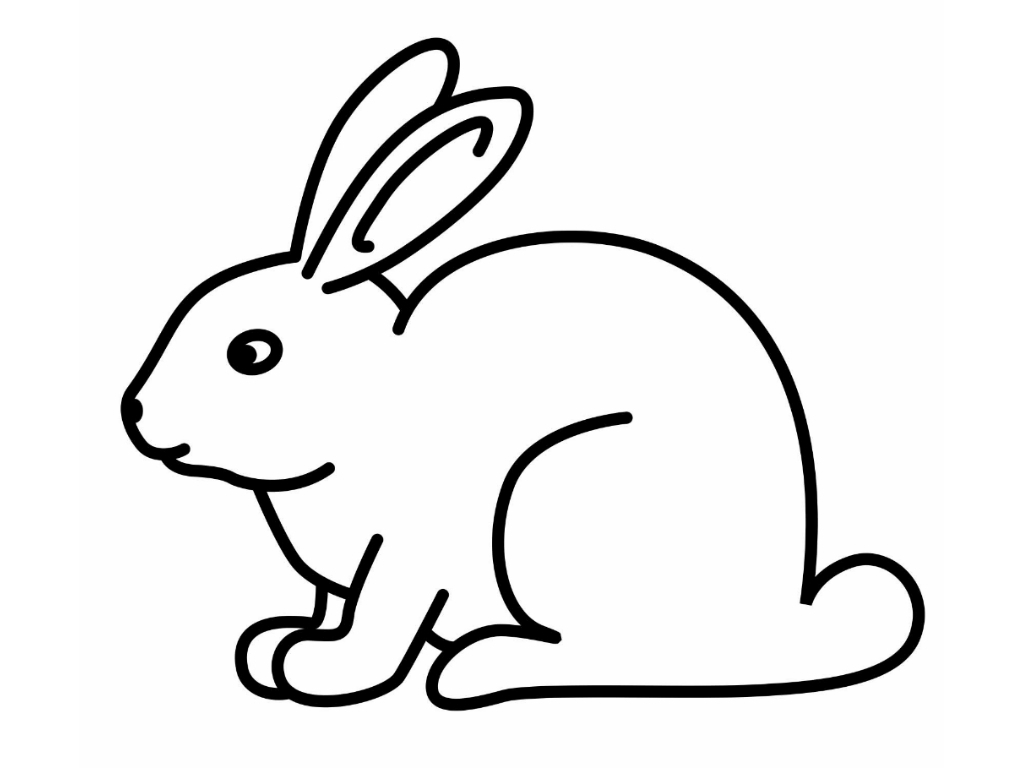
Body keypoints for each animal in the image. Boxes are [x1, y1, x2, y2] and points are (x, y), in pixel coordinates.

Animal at [121, 38, 924, 709]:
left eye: (252, 353)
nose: (136, 415)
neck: (371, 406)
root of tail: (774, 617)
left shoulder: (411, 556)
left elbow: (383, 622)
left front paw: (324, 671)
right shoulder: (341, 578)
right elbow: (332, 606)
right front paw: (275, 646)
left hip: (560, 496)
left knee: (617, 656)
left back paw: (481, 667)